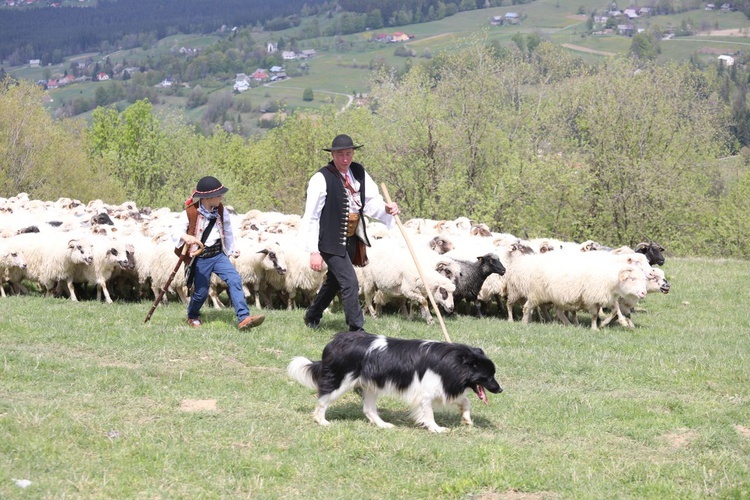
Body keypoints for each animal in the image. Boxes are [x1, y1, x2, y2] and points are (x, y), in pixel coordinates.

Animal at [288, 330, 506, 432]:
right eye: (488, 377)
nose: (500, 389)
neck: (456, 361)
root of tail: (334, 342)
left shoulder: (444, 385)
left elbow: (465, 401)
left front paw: (467, 419)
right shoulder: (427, 393)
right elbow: (428, 413)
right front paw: (436, 429)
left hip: (371, 385)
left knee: (368, 409)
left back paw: (383, 425)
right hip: (341, 381)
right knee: (322, 400)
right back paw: (322, 421)